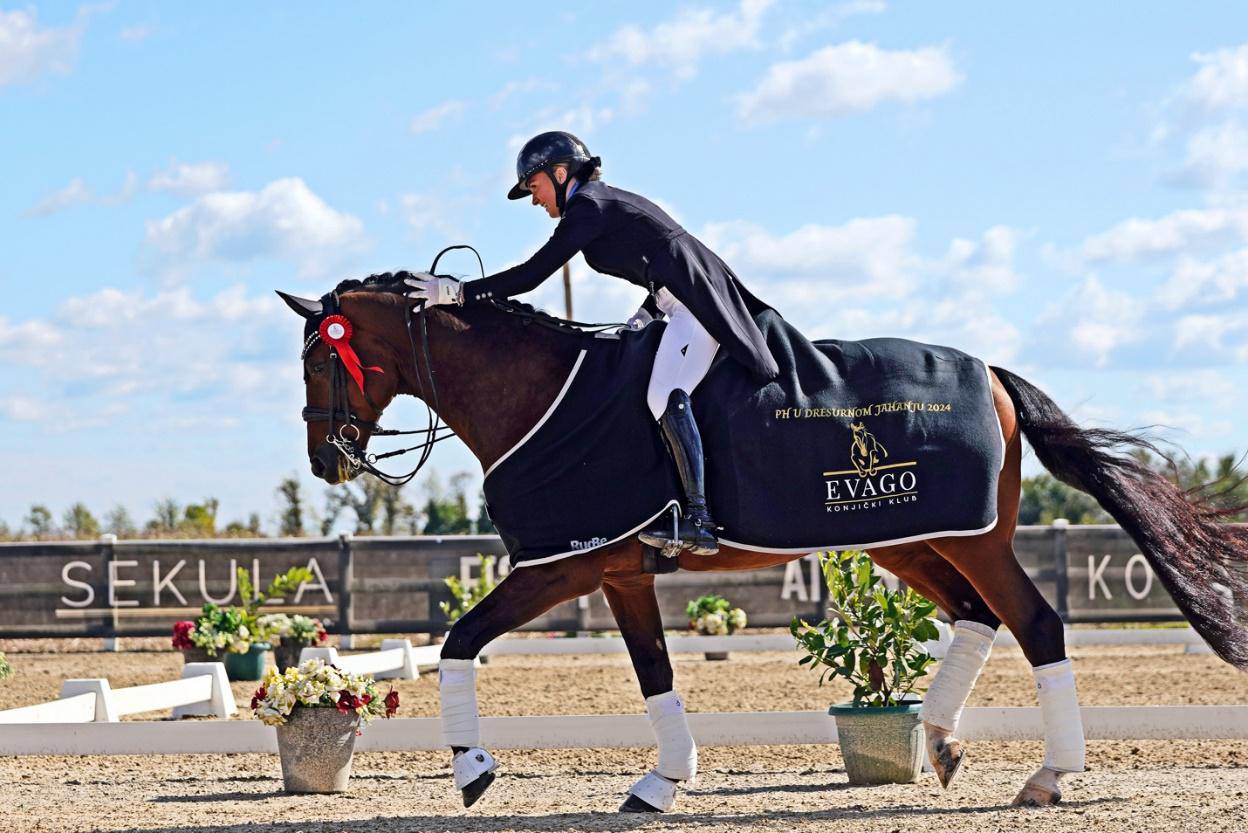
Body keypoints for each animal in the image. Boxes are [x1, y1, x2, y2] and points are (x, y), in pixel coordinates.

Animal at [280, 277, 1248, 809]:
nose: (326, 459)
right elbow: (655, 675)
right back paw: (939, 742)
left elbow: (459, 641)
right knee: (978, 615)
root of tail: (993, 374)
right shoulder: (619, 572)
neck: (540, 392)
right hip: (909, 539)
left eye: (320, 358)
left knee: (1037, 623)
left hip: (966, 538)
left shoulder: (561, 564)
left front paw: (475, 769)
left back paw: (1047, 775)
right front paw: (660, 783)